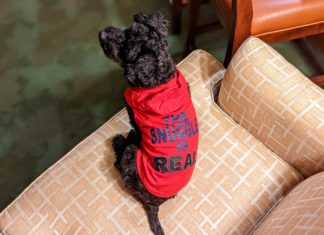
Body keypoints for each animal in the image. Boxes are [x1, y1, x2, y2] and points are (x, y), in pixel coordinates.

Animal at [98, 12, 199, 235]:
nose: (102, 32)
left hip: (130, 160)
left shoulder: (135, 118)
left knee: (120, 161)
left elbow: (135, 131)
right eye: (127, 28)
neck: (161, 79)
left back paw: (119, 142)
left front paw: (126, 137)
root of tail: (154, 206)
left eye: (126, 47)